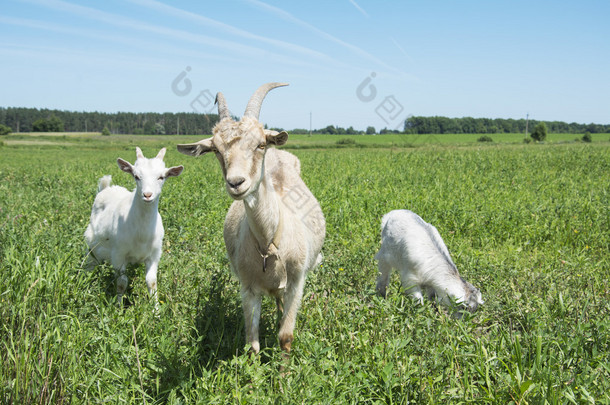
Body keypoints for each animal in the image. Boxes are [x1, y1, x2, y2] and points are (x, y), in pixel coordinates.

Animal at [84, 147, 183, 308]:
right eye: (136, 176)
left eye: (161, 177)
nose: (147, 195)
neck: (141, 234)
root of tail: (106, 188)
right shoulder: (118, 254)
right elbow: (122, 282)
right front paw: (118, 308)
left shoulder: (154, 255)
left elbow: (152, 282)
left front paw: (156, 310)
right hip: (91, 243)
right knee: (90, 263)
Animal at [176, 83, 326, 354]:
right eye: (216, 150)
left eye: (260, 145)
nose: (236, 183)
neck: (269, 243)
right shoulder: (247, 288)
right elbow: (251, 343)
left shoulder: (296, 282)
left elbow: (285, 336)